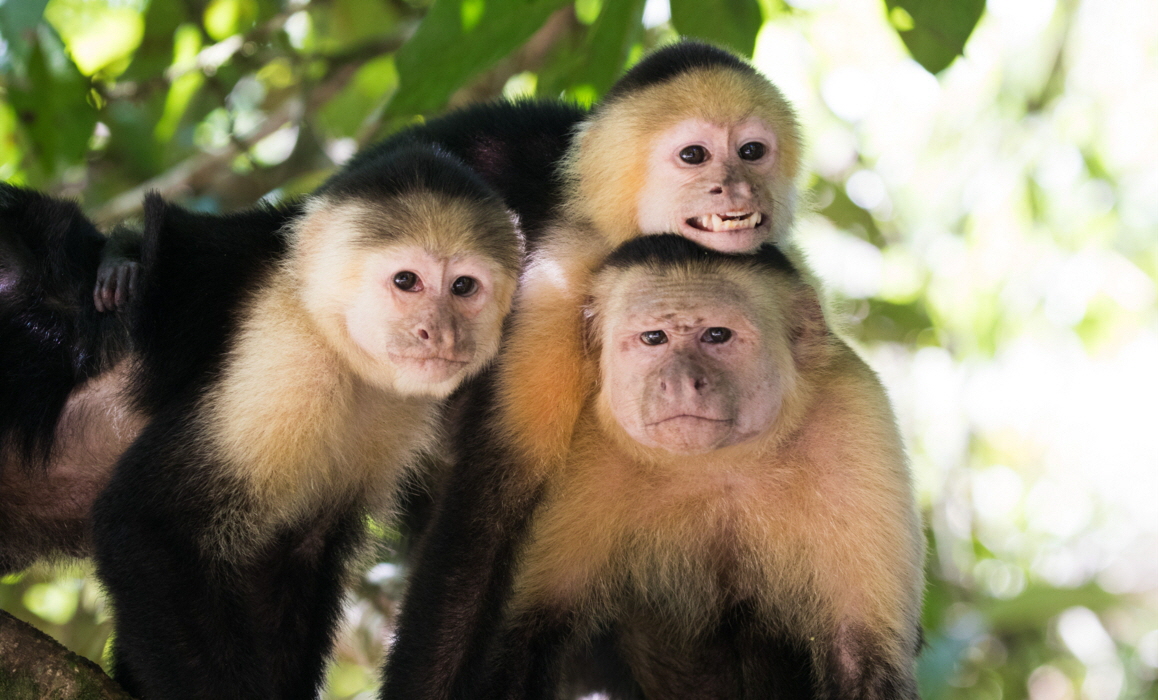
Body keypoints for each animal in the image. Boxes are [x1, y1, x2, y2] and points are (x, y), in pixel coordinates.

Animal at [88, 142, 523, 700]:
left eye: (464, 287)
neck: (337, 345)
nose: (441, 334)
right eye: (407, 281)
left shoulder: (393, 410)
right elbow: (146, 523)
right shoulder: (286, 356)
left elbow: (294, 553)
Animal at [383, 235, 924, 699]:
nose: (681, 381)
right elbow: (522, 639)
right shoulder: (584, 439)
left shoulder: (854, 416)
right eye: (653, 338)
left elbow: (860, 656)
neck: (717, 465)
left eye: (717, 335)